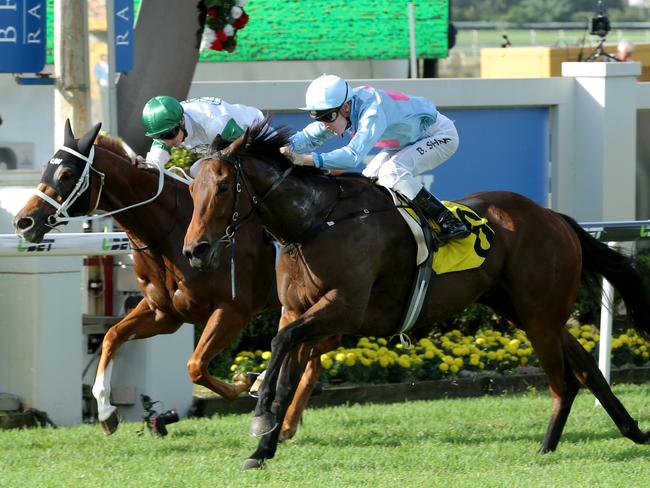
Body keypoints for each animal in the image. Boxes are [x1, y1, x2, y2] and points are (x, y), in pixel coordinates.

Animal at [12, 120, 318, 436]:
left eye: (66, 173)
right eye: (46, 169)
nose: (24, 222)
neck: (170, 230)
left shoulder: (233, 310)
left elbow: (195, 366)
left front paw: (246, 381)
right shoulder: (164, 313)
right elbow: (112, 336)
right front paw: (106, 411)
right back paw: (288, 423)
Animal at [181, 119, 648, 468]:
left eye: (221, 187)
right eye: (191, 188)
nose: (194, 250)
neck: (316, 223)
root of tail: (553, 216)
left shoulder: (343, 307)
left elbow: (280, 344)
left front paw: (258, 415)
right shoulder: (297, 310)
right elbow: (285, 368)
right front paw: (262, 447)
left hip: (538, 313)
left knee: (564, 382)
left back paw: (548, 445)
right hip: (528, 310)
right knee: (587, 370)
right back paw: (633, 431)